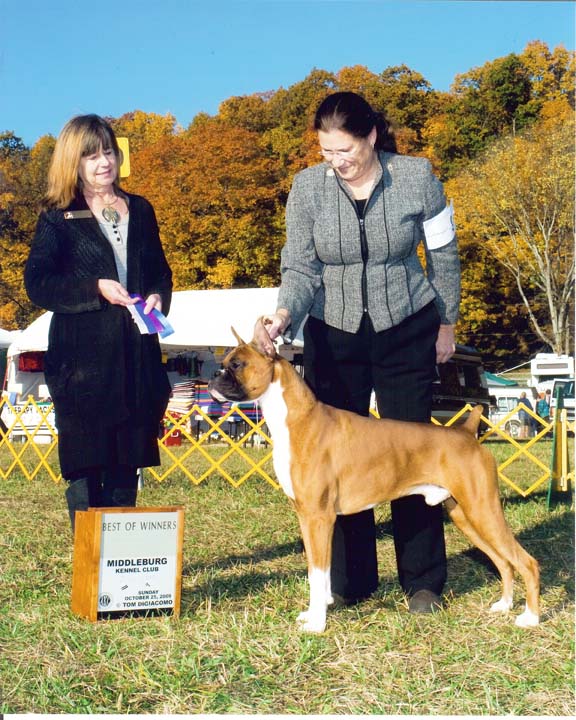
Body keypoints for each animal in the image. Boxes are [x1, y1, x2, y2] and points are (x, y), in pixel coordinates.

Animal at [208, 320, 540, 632]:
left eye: (236, 364)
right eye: (225, 361)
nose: (213, 376)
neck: (298, 419)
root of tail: (467, 432)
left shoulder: (319, 517)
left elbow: (319, 572)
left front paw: (317, 624)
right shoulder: (306, 517)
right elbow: (316, 575)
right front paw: (314, 613)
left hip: (483, 510)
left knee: (526, 562)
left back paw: (530, 618)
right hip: (465, 515)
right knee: (503, 561)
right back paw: (504, 605)